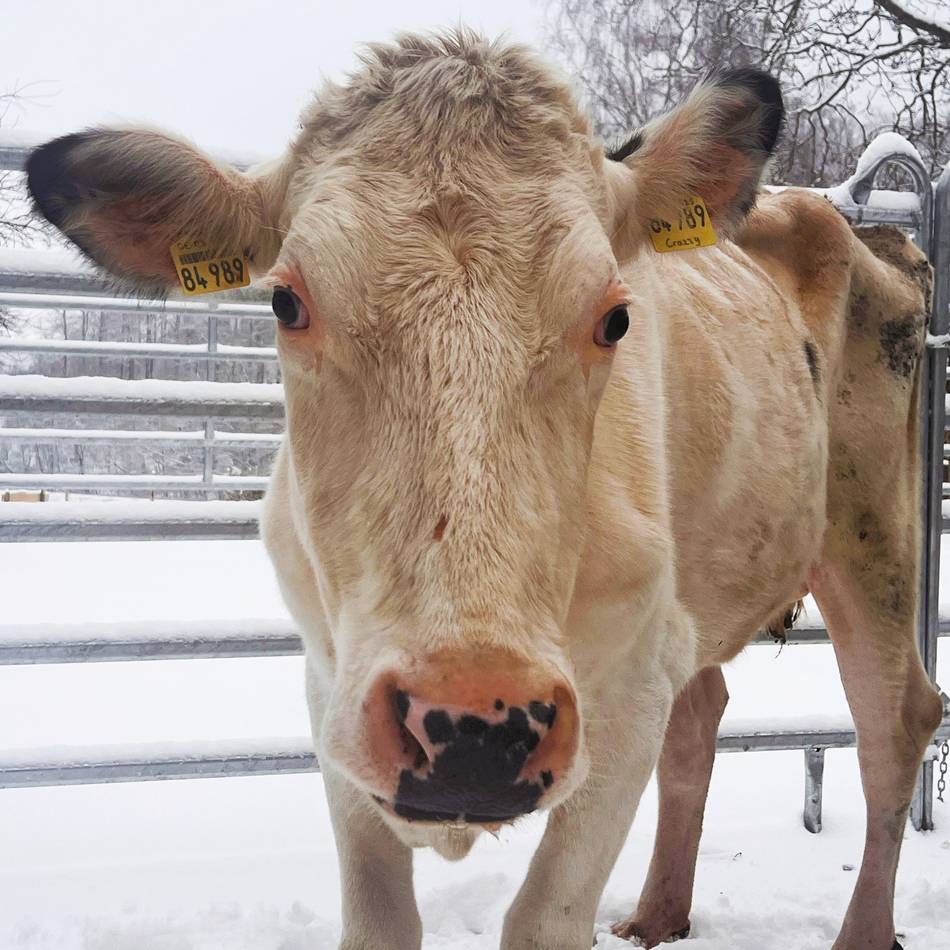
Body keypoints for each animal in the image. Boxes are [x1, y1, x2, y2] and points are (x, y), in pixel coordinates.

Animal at [26, 30, 941, 950]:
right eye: (286, 303)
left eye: (615, 317)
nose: (473, 724)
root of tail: (859, 224)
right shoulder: (334, 686)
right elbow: (379, 923)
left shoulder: (626, 692)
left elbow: (543, 920)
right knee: (703, 717)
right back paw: (656, 915)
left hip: (875, 535)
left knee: (895, 723)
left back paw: (861, 929)